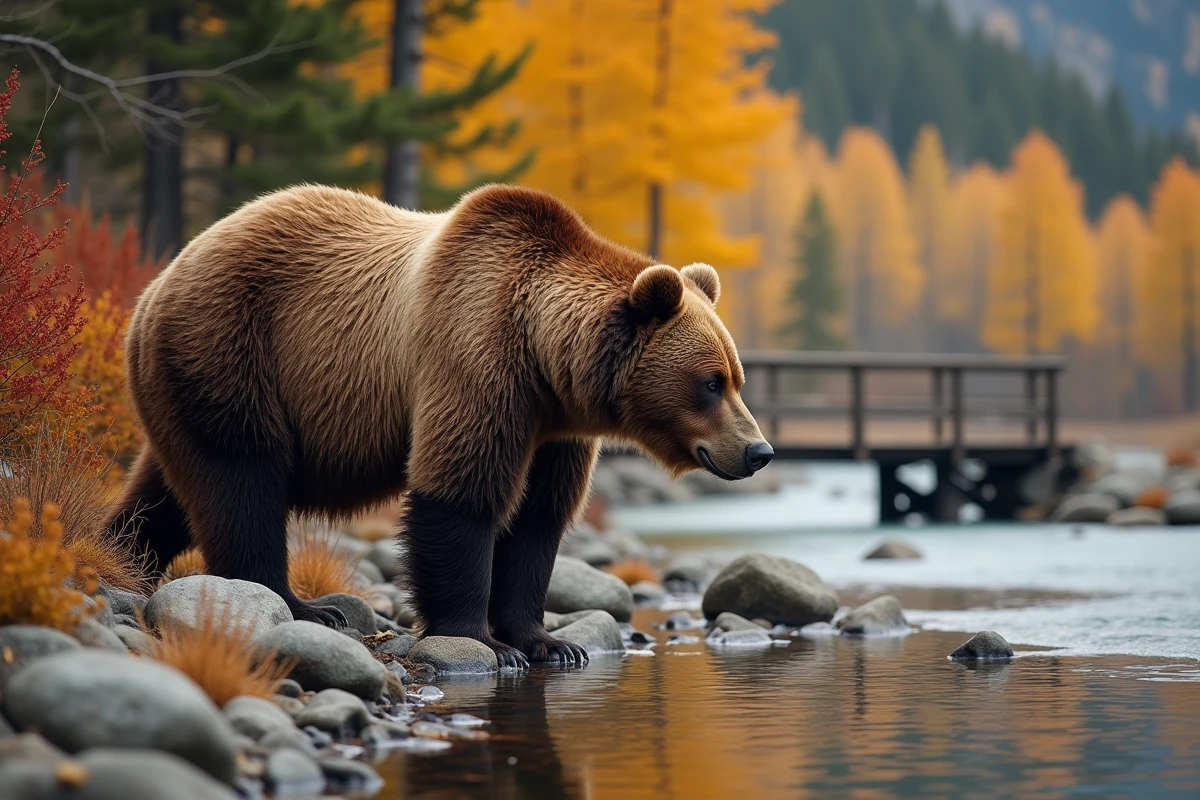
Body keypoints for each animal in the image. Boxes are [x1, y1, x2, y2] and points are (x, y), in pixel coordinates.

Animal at [105, 183, 773, 668]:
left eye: (737, 375)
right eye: (711, 381)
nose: (758, 450)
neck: (544, 360)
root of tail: (152, 288)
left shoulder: (554, 430)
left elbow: (538, 519)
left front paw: (550, 641)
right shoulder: (472, 359)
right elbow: (461, 496)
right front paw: (485, 641)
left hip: (193, 384)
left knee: (172, 490)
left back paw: (120, 552)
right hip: (233, 353)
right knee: (243, 484)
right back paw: (304, 607)